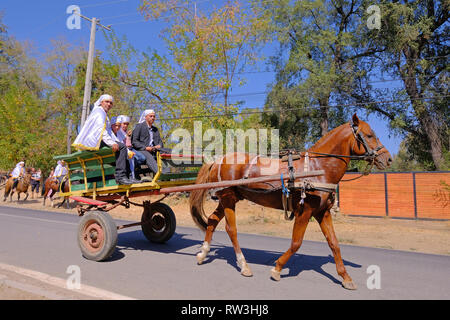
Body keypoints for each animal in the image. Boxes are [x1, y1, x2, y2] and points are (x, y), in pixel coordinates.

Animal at [188, 114, 392, 288]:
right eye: (369, 135)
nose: (388, 159)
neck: (318, 169)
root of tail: (218, 160)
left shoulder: (322, 212)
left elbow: (334, 243)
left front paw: (345, 277)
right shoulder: (305, 211)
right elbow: (296, 242)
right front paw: (277, 268)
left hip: (226, 199)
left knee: (212, 220)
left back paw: (203, 254)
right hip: (228, 199)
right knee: (232, 230)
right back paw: (244, 265)